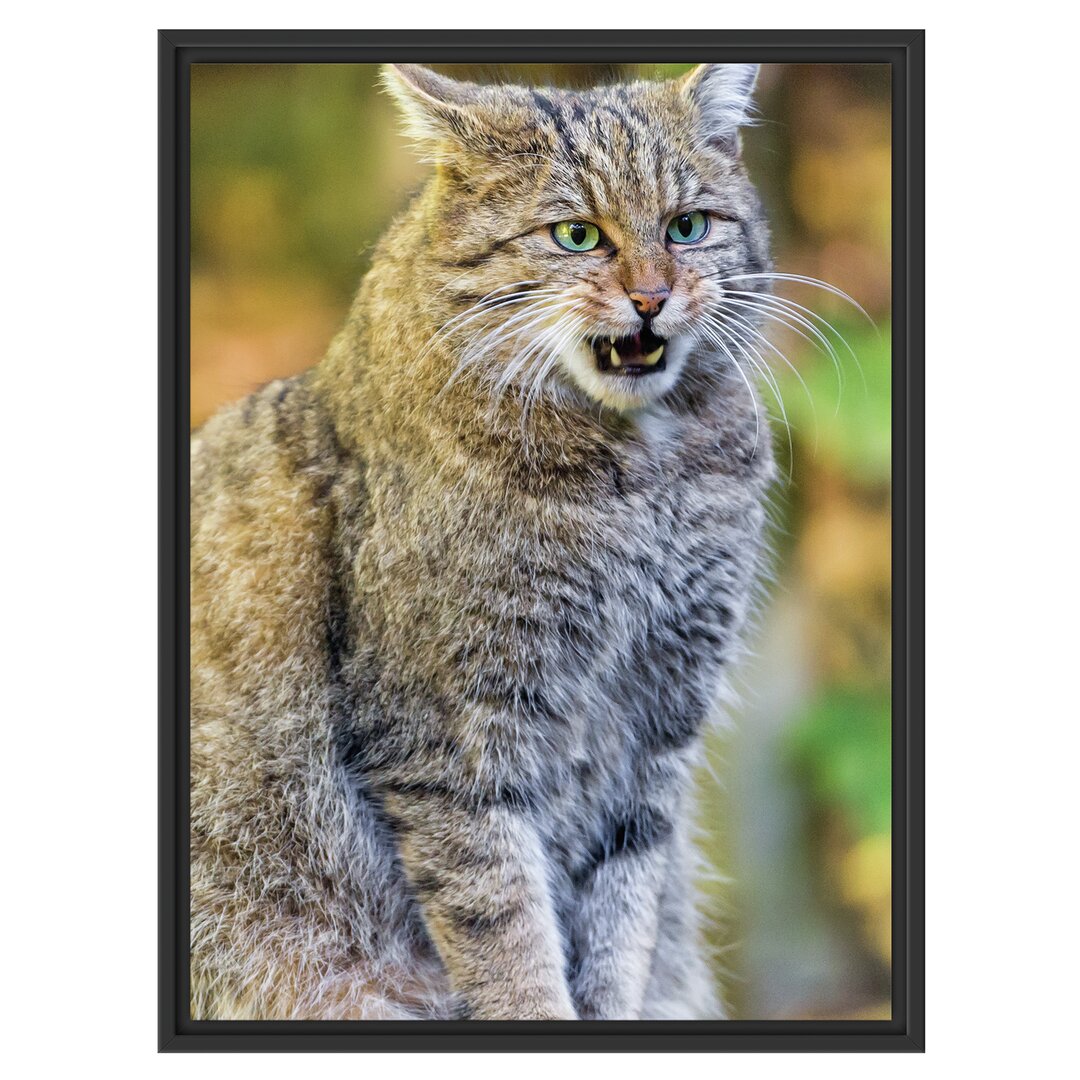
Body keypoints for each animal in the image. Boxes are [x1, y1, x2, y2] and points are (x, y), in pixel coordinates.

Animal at [190, 61, 781, 1019]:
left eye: (687, 227)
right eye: (577, 235)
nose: (653, 297)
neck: (643, 480)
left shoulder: (658, 730)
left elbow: (625, 916)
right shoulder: (451, 742)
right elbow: (506, 929)